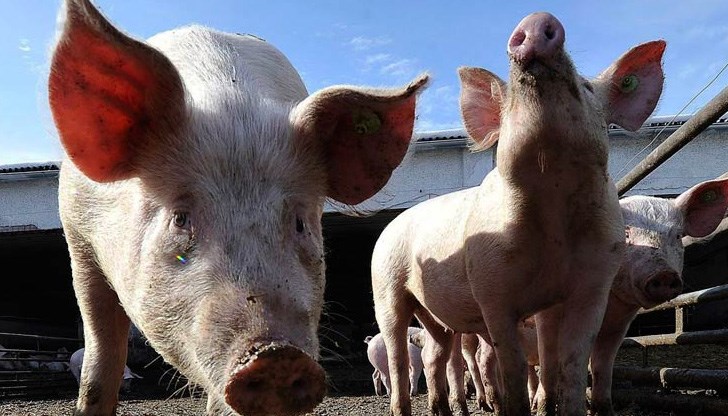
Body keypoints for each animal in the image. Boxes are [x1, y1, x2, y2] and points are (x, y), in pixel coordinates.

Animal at [371, 11, 665, 416]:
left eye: (589, 88)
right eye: (509, 101)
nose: (537, 19)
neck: (552, 204)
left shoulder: (593, 284)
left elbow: (569, 362)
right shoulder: (491, 289)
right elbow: (512, 364)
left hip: (435, 316)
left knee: (434, 354)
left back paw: (445, 410)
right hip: (385, 285)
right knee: (399, 355)